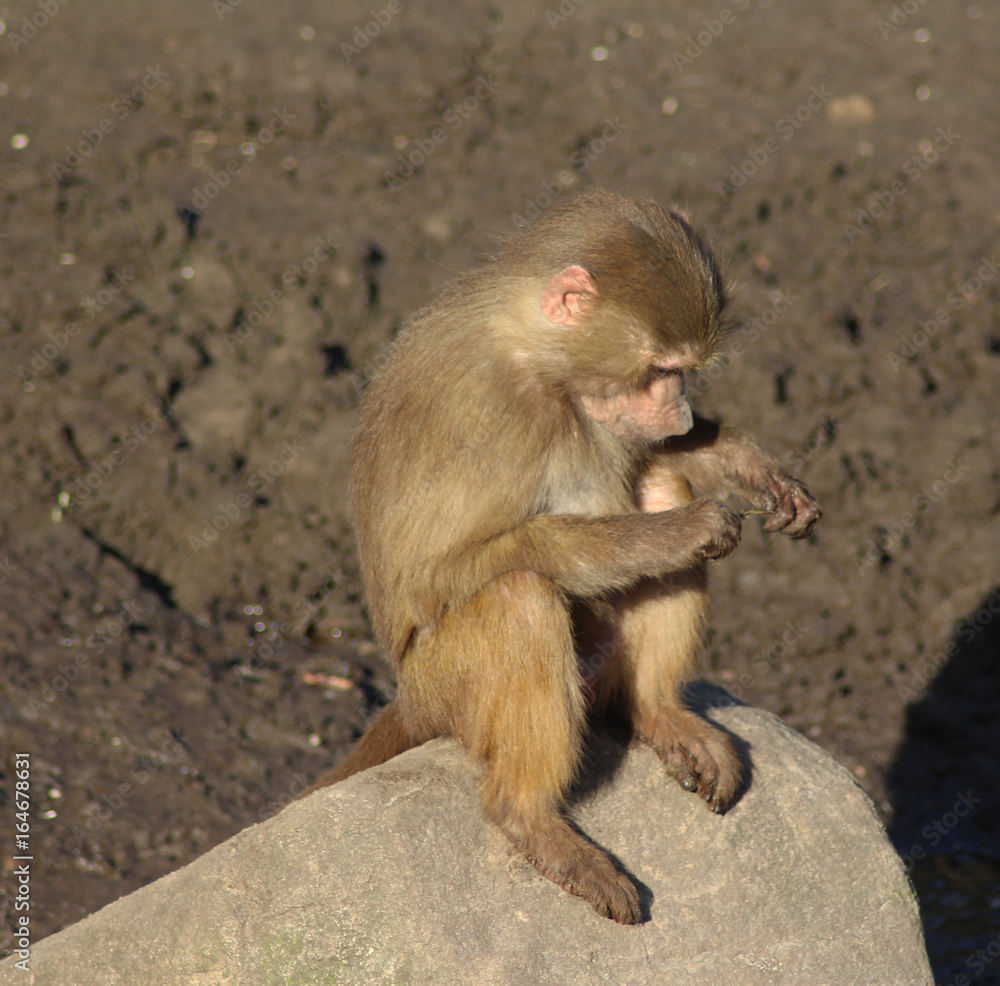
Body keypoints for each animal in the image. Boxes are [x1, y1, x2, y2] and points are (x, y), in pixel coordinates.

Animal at [299, 188, 821, 925]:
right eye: (661, 372)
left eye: (683, 376)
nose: (684, 414)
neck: (539, 356)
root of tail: (409, 696)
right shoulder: (494, 412)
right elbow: (439, 571)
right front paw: (677, 533)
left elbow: (656, 460)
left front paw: (756, 471)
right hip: (445, 688)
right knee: (521, 599)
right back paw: (531, 819)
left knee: (660, 485)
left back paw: (658, 712)